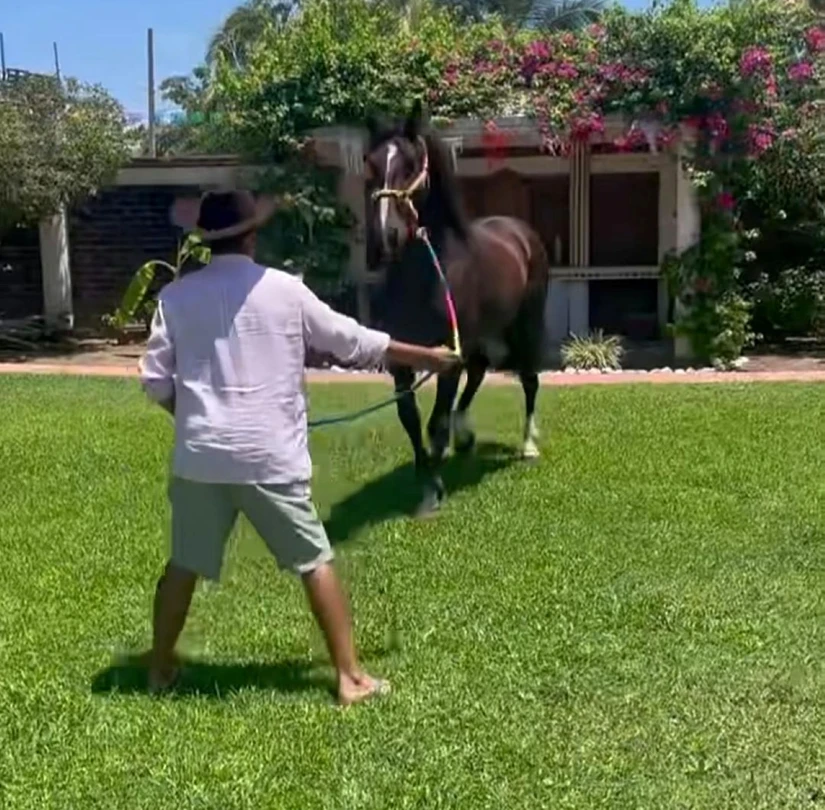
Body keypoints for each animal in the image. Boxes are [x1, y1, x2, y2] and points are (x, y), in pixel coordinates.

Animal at [363, 101, 551, 516]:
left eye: (412, 164)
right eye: (370, 164)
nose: (387, 237)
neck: (428, 273)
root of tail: (520, 232)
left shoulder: (447, 356)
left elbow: (434, 424)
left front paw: (432, 491)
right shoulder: (401, 358)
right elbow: (410, 418)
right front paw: (425, 475)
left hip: (525, 322)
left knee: (529, 379)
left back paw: (528, 445)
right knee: (478, 371)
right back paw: (464, 436)